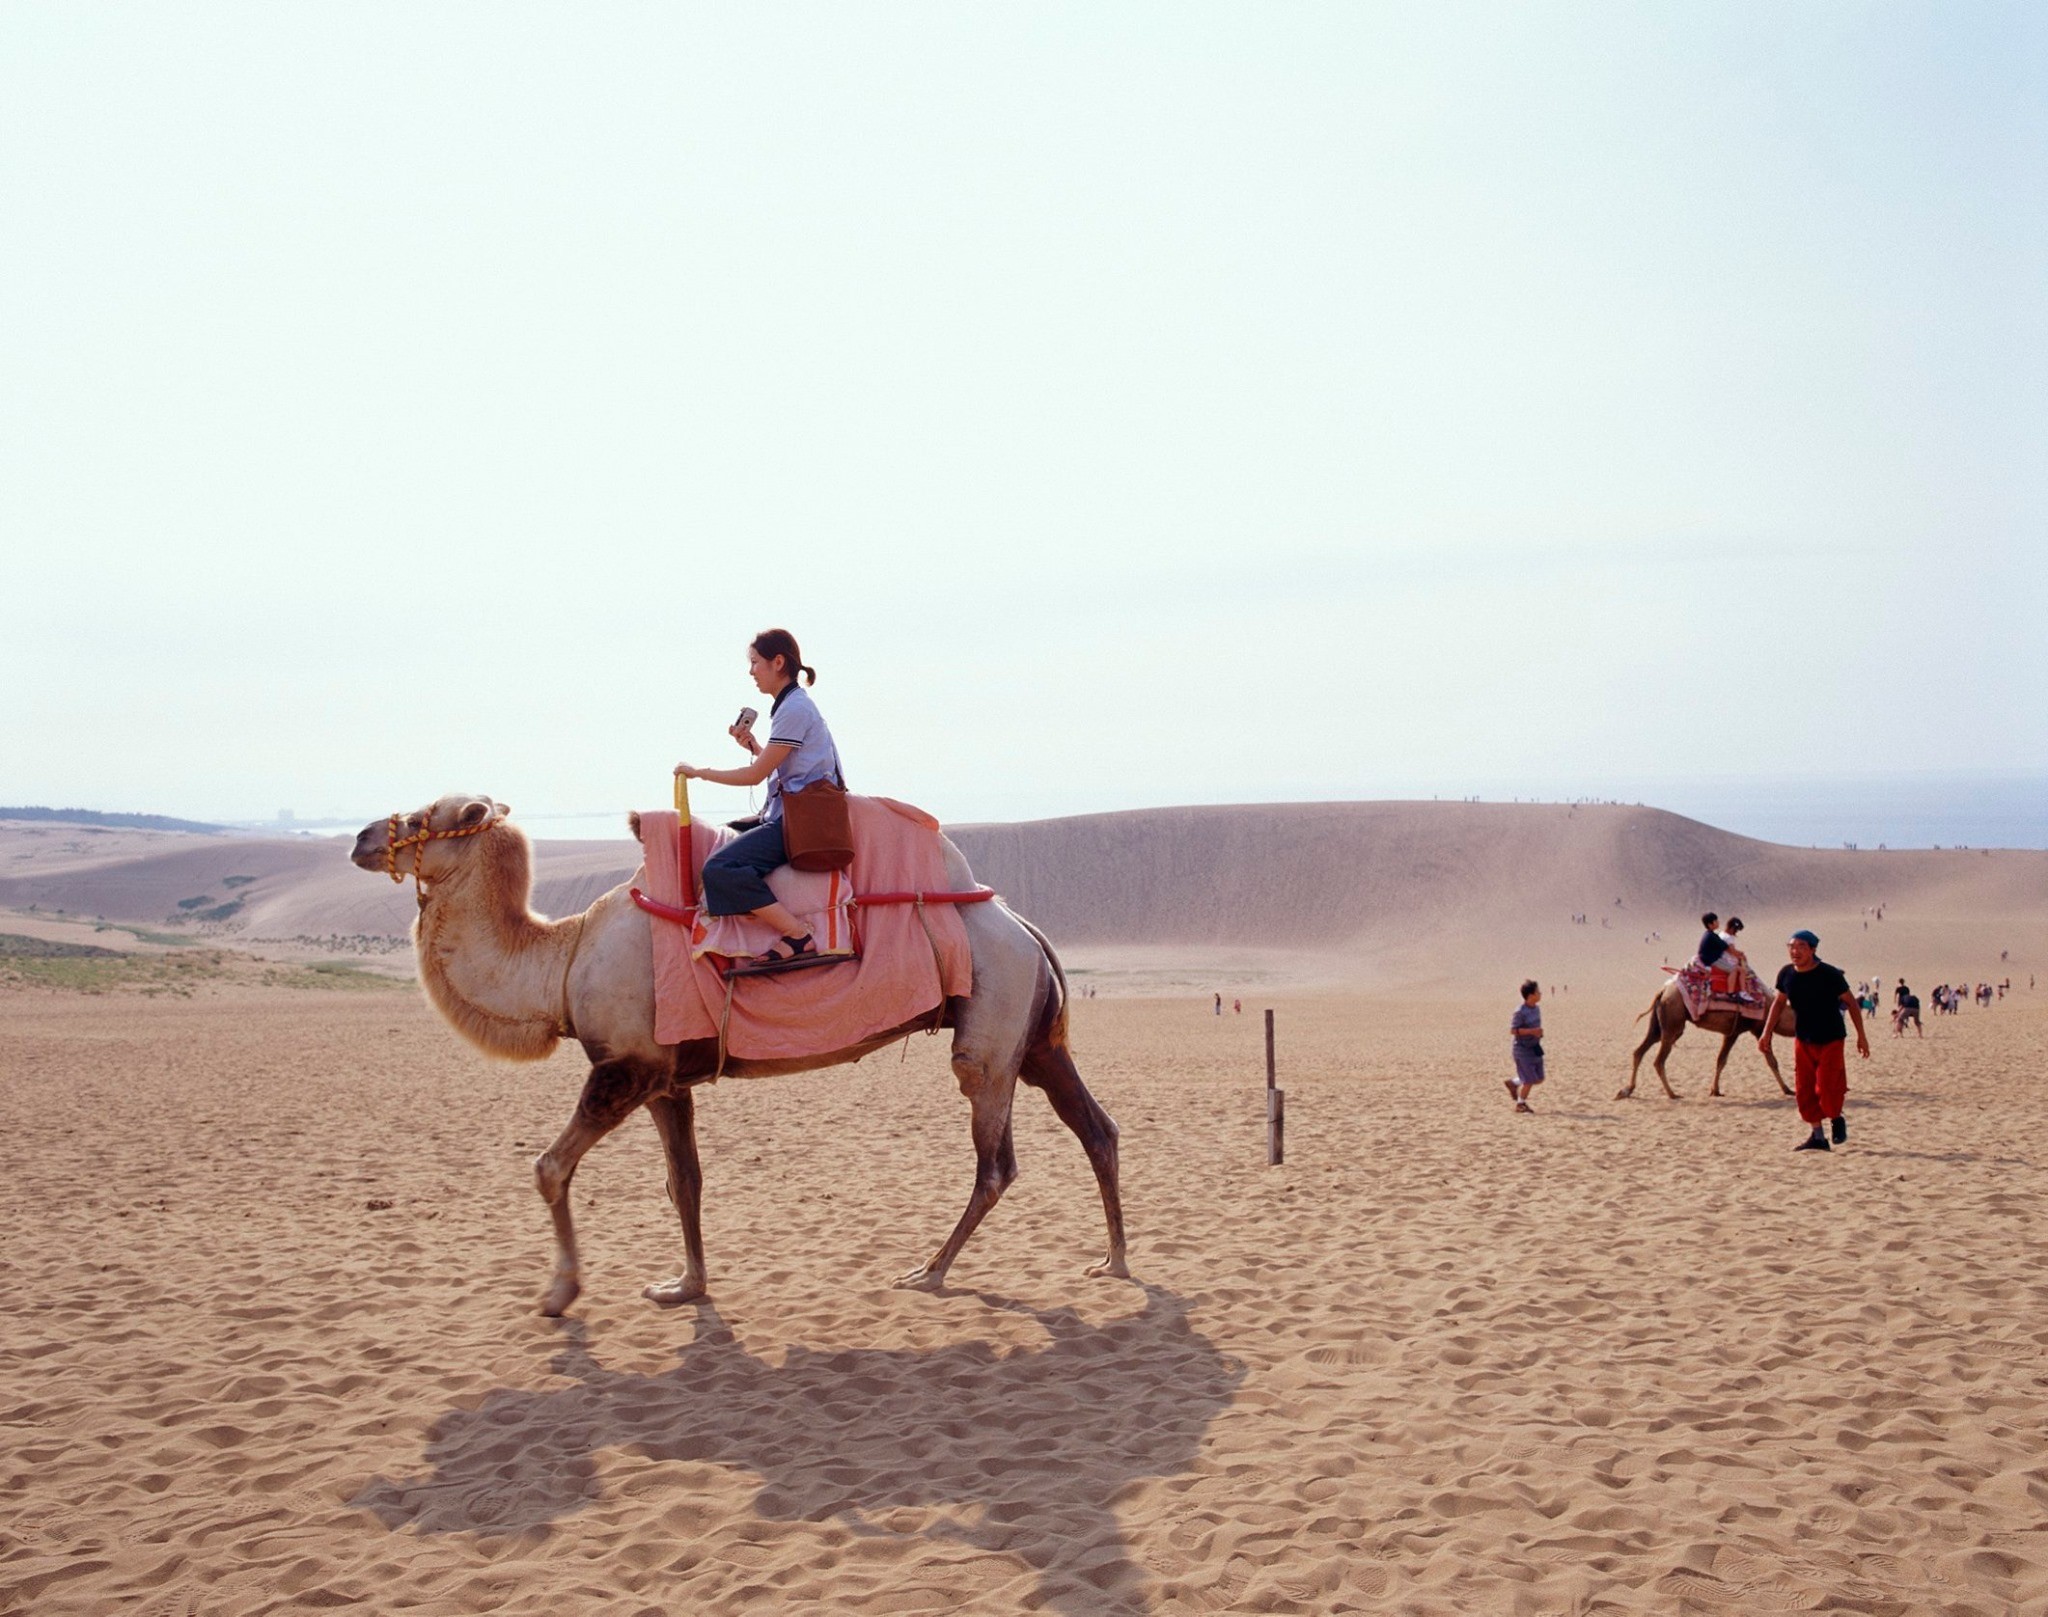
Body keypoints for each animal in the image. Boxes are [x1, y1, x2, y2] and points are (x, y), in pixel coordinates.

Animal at [348, 798, 1122, 1318]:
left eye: (424, 814)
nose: (359, 835)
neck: (561, 962)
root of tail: (1020, 922)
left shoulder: (622, 1068)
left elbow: (549, 1167)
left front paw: (560, 1292)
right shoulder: (665, 1078)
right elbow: (684, 1181)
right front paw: (684, 1285)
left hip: (990, 1026)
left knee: (995, 1160)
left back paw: (928, 1272)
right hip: (1035, 1035)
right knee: (1095, 1127)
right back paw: (1113, 1262)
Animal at [1622, 974, 1785, 1105]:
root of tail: (1662, 992)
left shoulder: (1731, 1032)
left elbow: (1721, 1060)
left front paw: (1715, 1091)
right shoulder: (1757, 1030)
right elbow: (1772, 1061)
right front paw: (1787, 1089)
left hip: (1659, 1024)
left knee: (1639, 1051)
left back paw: (1627, 1090)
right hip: (1672, 1023)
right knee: (1659, 1060)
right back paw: (1672, 1094)